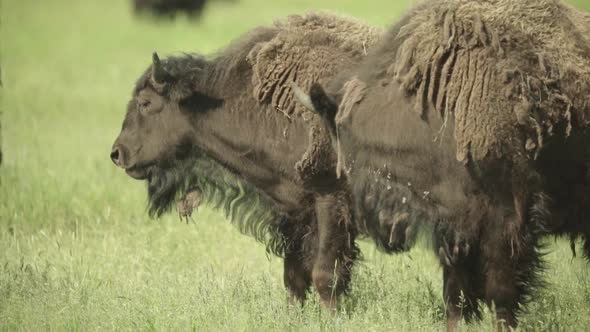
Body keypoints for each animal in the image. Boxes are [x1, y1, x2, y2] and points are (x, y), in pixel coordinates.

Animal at [112, 13, 386, 308]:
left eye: (145, 102)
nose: (117, 153)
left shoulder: (331, 199)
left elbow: (326, 274)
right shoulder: (293, 209)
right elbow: (294, 276)